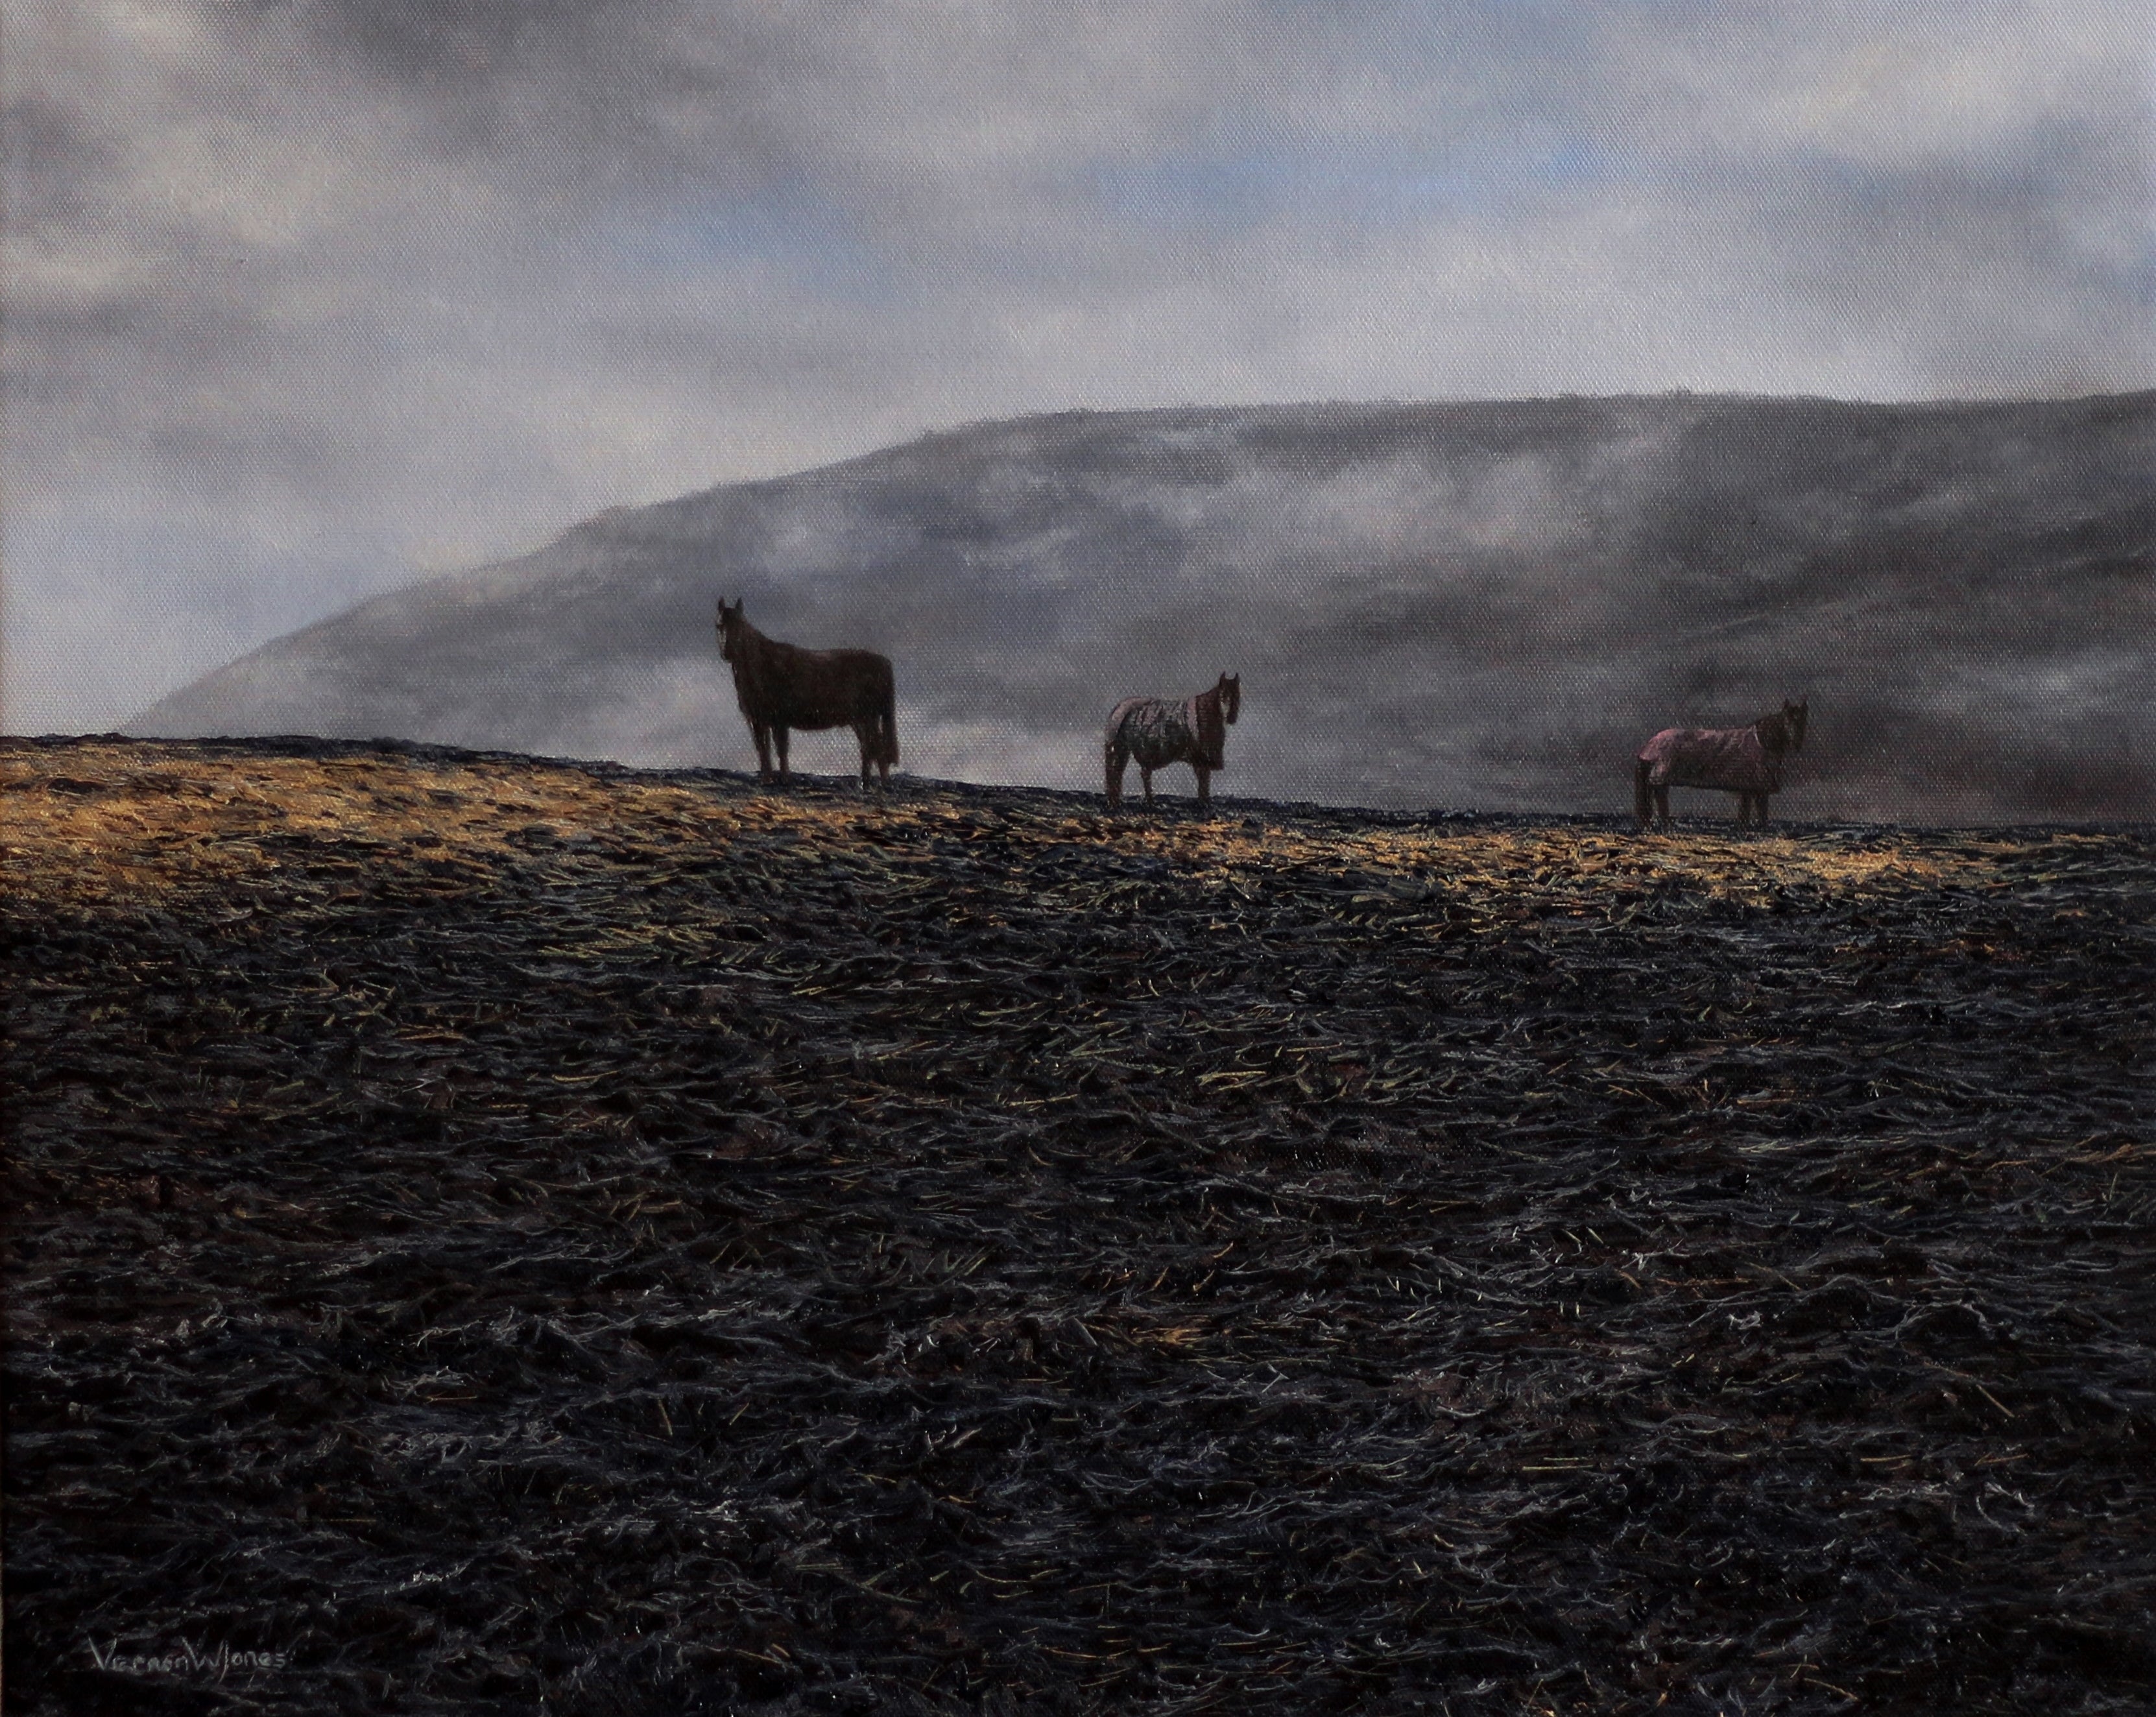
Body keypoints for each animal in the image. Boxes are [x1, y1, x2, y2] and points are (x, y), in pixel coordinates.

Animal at [715, 599, 898, 788]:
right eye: (719, 625)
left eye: (740, 625)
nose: (727, 651)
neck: (763, 665)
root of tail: (883, 662)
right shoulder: (756, 720)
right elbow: (763, 749)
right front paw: (767, 779)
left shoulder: (779, 719)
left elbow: (781, 749)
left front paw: (785, 779)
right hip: (859, 719)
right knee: (868, 747)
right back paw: (865, 782)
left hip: (868, 717)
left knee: (877, 747)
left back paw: (881, 784)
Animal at [1104, 674, 1241, 810]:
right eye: (1223, 696)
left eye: (1238, 696)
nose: (1232, 718)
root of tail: (1121, 708)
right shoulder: (1201, 757)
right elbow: (1204, 780)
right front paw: (1204, 803)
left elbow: (1204, 780)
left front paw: (1204, 802)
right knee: (1123, 773)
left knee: (1130, 773)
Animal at [1635, 700, 1808, 830]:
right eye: (1786, 721)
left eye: (1803, 722)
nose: (1797, 744)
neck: (1762, 743)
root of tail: (1651, 744)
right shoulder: (1753, 786)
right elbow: (1753, 811)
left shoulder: (1754, 788)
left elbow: (1754, 812)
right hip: (1660, 780)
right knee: (1661, 801)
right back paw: (1667, 825)